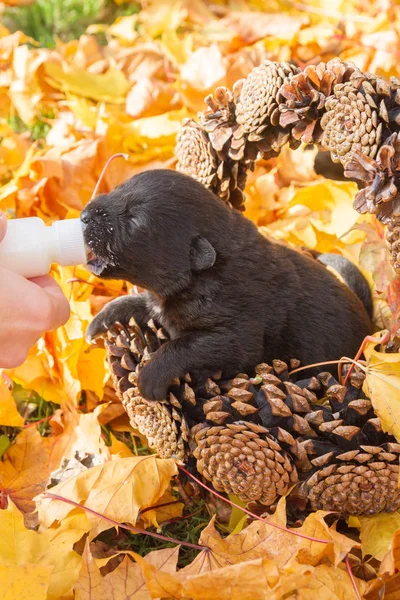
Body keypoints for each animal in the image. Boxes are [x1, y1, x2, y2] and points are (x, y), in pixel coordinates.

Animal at [83, 169, 374, 400]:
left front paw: (149, 378)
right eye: (119, 188)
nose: (84, 216)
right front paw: (101, 320)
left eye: (134, 220)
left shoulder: (236, 337)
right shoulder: (161, 303)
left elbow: (183, 346)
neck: (205, 272)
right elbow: (135, 304)